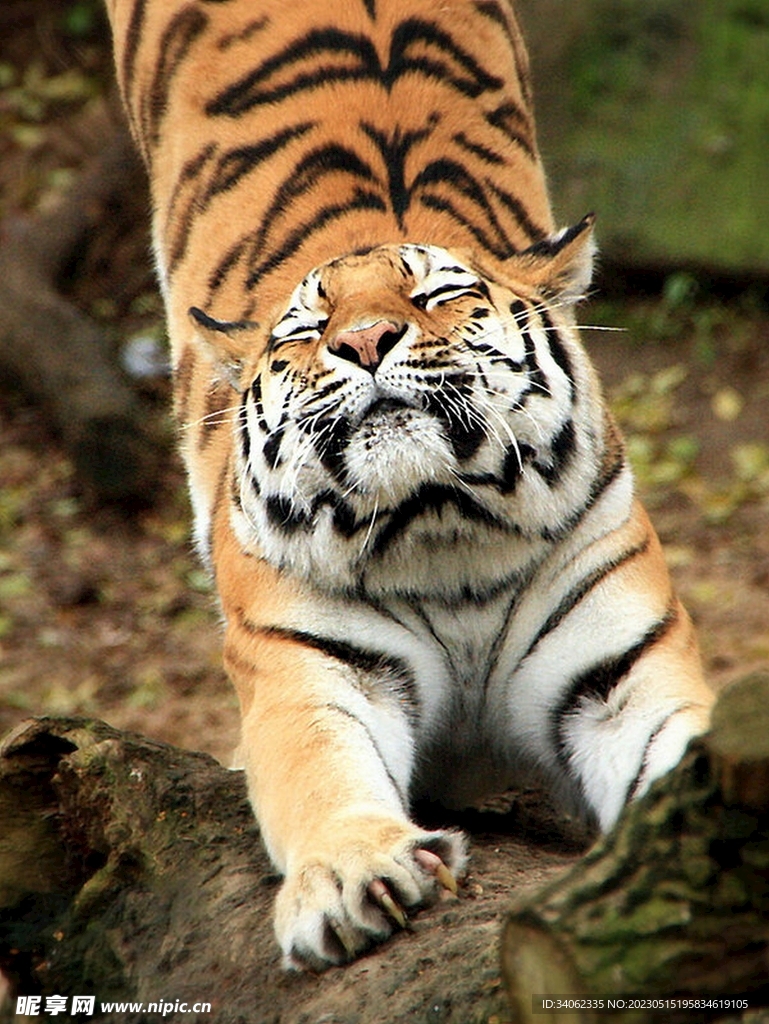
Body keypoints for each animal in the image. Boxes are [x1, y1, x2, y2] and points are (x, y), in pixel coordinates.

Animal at [106, 0, 714, 970]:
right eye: (308, 331)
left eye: (432, 298)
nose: (363, 341)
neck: (444, 530)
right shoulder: (308, 674)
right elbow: (320, 773)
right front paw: (352, 878)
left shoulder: (622, 675)